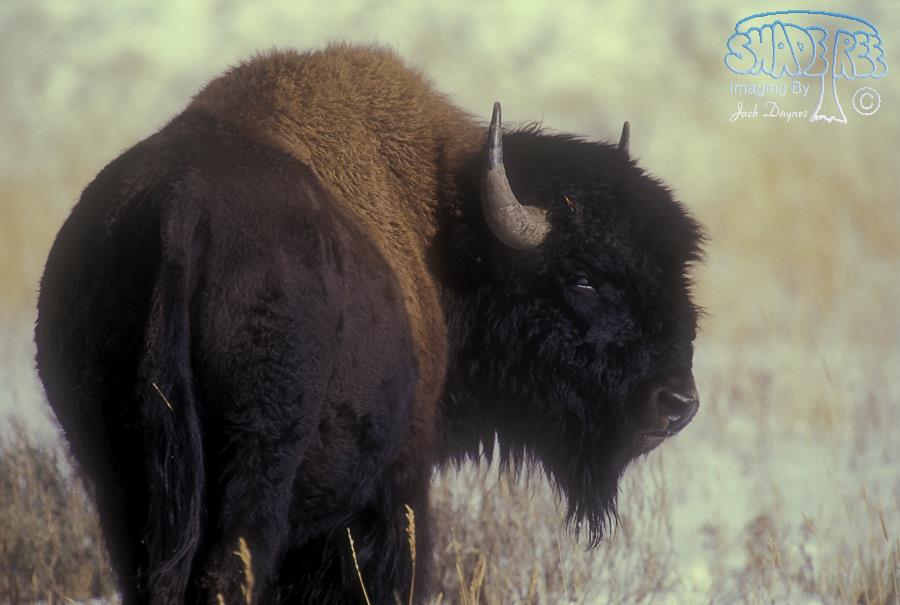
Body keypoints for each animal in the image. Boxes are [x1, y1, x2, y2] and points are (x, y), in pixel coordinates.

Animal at [35, 44, 704, 604]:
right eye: (583, 280)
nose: (677, 403)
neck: (444, 232)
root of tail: (181, 212)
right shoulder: (395, 484)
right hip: (253, 474)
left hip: (123, 478)